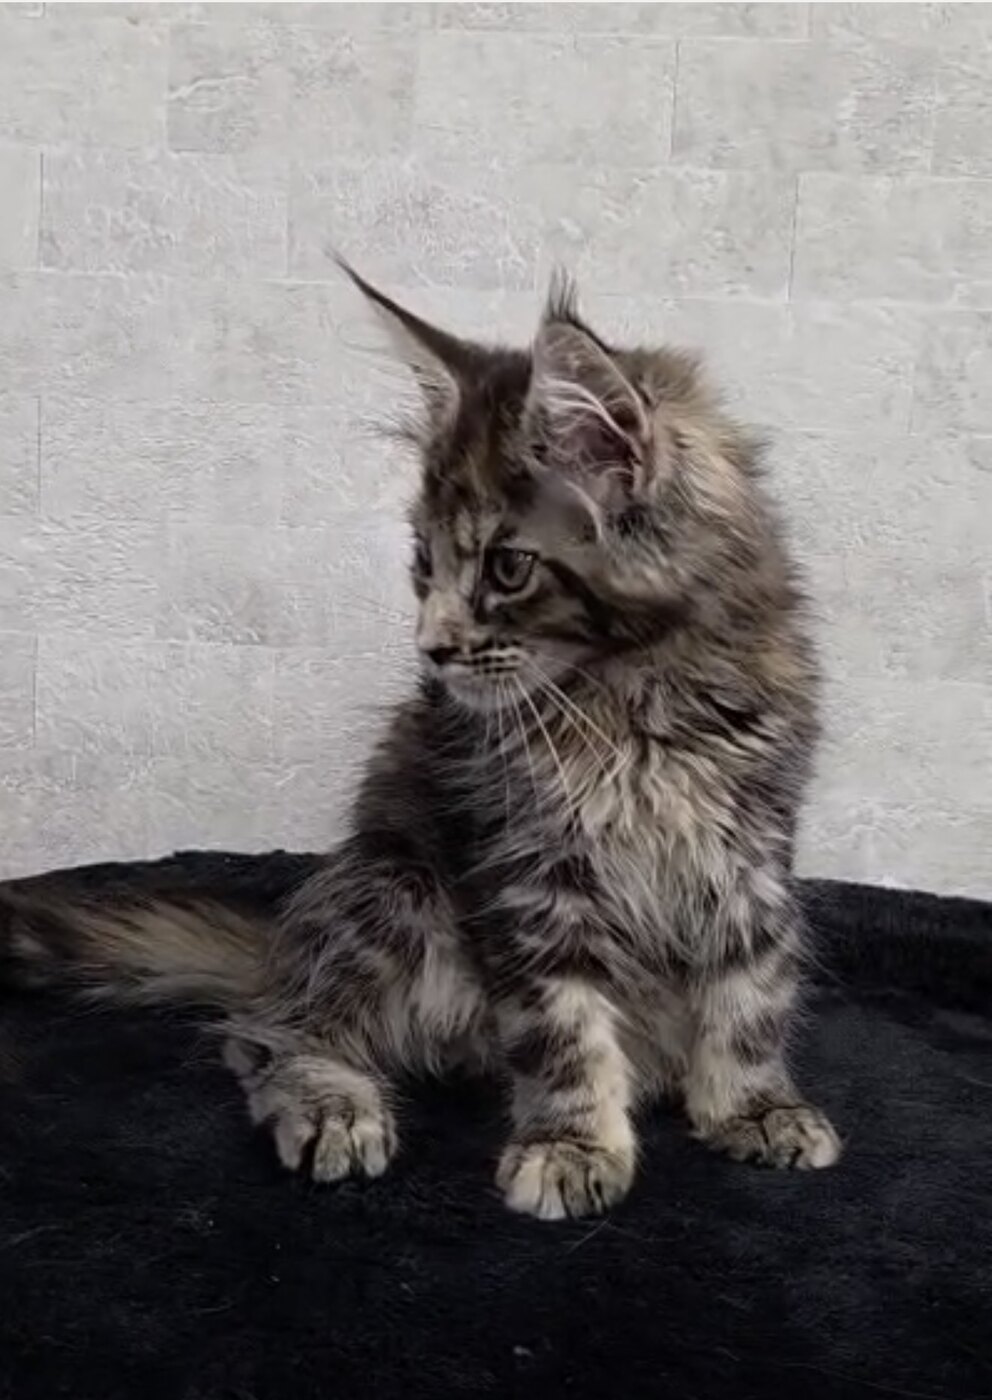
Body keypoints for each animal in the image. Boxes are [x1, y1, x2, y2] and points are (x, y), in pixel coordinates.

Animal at [0, 267, 840, 1220]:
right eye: (424, 562)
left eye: (508, 567)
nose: (431, 648)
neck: (636, 699)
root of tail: (279, 954)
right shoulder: (528, 870)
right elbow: (563, 1025)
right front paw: (571, 1143)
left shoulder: (750, 847)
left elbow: (751, 992)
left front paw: (754, 1107)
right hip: (395, 889)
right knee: (268, 1032)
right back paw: (333, 1108)